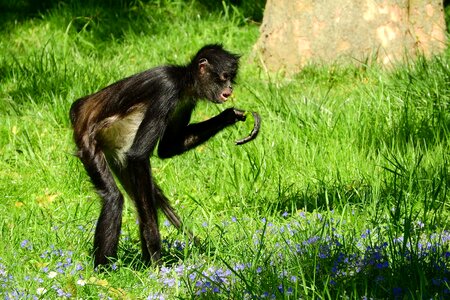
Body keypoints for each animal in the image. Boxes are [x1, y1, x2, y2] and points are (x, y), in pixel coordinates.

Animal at [69, 43, 262, 266]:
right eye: (224, 77)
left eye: (232, 78)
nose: (230, 89)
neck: (183, 81)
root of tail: (81, 108)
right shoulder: (167, 89)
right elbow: (138, 155)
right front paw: (154, 246)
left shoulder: (186, 101)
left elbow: (168, 148)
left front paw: (230, 115)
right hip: (87, 142)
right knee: (114, 198)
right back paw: (104, 270)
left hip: (117, 154)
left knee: (143, 199)